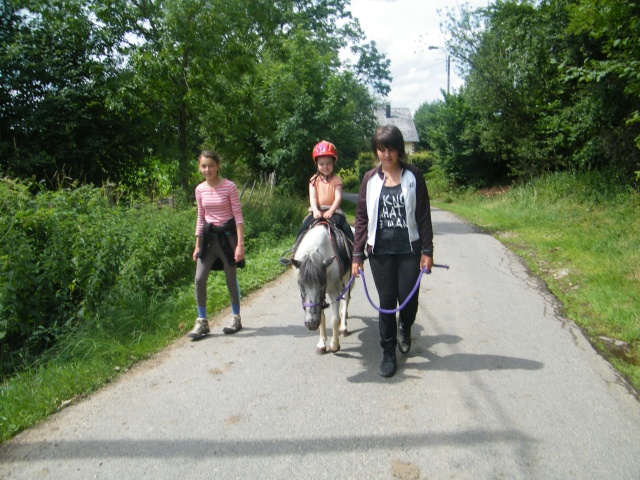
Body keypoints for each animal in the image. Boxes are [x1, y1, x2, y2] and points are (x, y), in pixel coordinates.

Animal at [282, 223, 352, 354]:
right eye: (300, 284)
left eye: (323, 284)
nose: (311, 324)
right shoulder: (319, 301)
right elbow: (322, 318)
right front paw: (321, 344)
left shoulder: (334, 291)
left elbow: (335, 320)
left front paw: (334, 345)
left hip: (348, 279)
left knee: (346, 300)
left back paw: (343, 327)